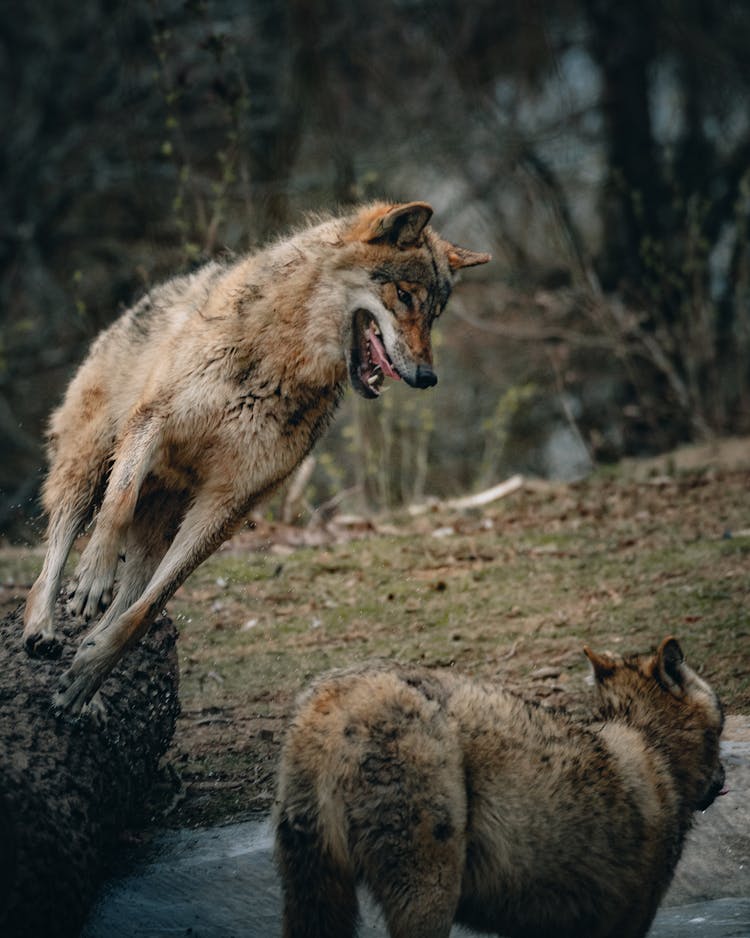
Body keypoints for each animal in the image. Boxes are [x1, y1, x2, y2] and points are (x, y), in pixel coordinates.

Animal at [20, 199, 490, 708]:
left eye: (435, 314)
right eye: (404, 296)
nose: (427, 377)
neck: (279, 360)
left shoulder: (229, 504)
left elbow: (148, 610)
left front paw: (90, 673)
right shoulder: (152, 423)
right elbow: (117, 506)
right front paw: (92, 578)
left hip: (160, 528)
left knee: (132, 596)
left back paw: (90, 672)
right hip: (87, 467)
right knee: (55, 553)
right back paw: (41, 628)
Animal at [276, 636, 728, 936]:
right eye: (723, 719)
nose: (723, 779)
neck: (651, 742)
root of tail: (335, 701)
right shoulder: (628, 919)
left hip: (313, 889)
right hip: (427, 885)